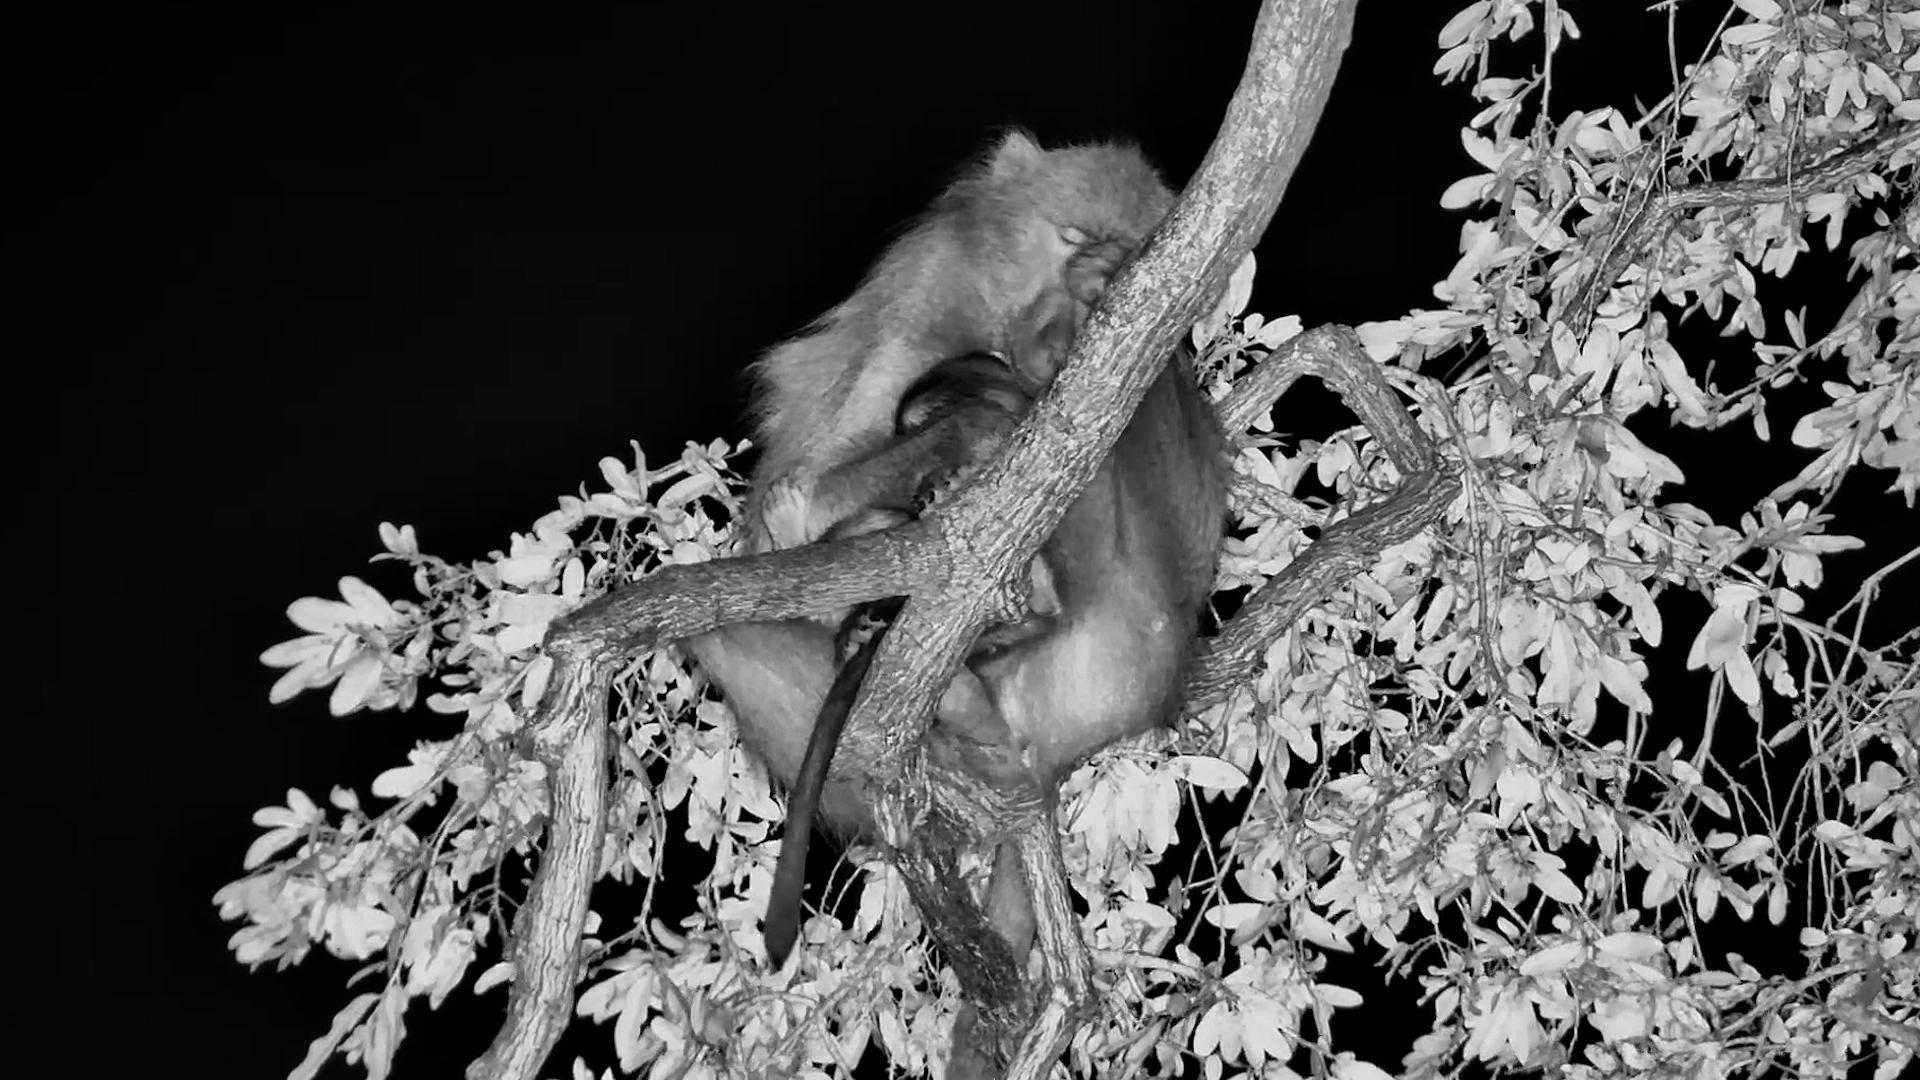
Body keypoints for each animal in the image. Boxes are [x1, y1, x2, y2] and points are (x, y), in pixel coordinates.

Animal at [680, 131, 1228, 973]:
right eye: (1069, 237)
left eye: (1123, 251)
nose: (1070, 318)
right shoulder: (928, 301)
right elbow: (795, 512)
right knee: (730, 624)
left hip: (1129, 632)